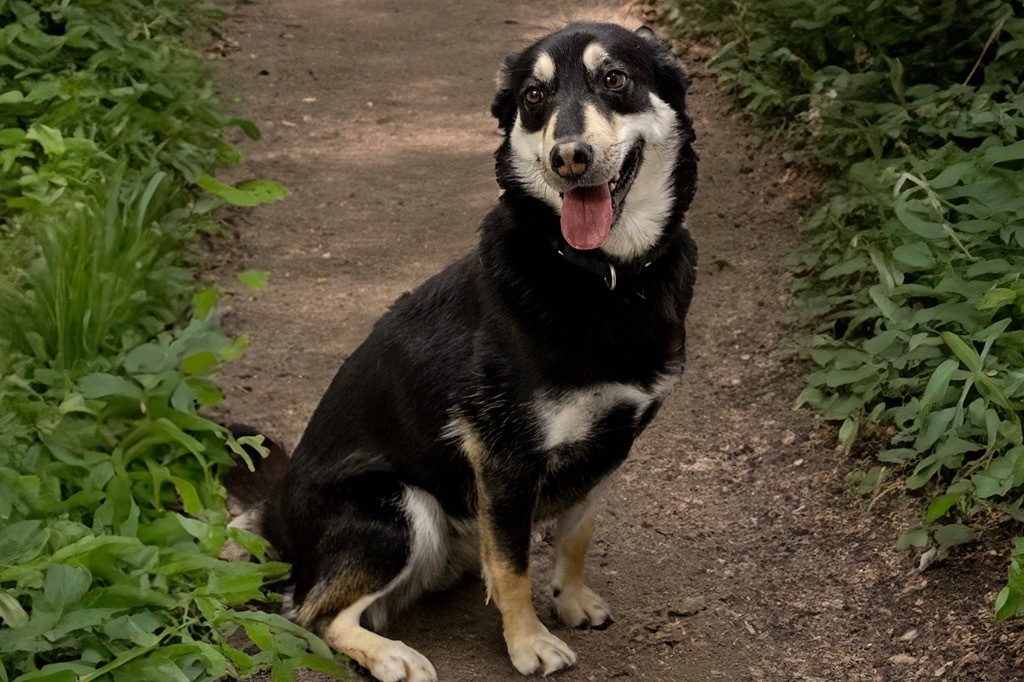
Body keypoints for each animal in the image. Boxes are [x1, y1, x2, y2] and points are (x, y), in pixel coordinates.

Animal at [232, 21, 696, 679]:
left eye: (615, 79)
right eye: (533, 97)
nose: (568, 157)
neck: (600, 277)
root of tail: (274, 513)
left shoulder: (614, 441)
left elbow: (576, 530)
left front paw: (571, 598)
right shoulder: (502, 456)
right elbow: (513, 564)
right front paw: (528, 643)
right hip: (399, 507)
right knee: (312, 612)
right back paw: (392, 656)